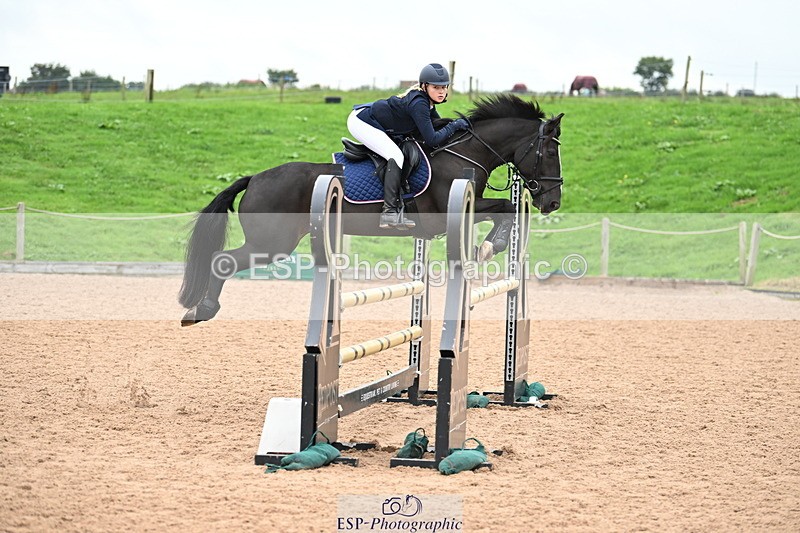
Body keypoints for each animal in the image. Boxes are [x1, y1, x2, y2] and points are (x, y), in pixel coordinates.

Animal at [178, 94, 564, 326]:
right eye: (549, 152)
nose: (552, 202)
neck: (465, 152)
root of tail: (255, 177)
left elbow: (507, 209)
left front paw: (489, 245)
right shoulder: (451, 210)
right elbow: (505, 207)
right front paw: (489, 246)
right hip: (271, 244)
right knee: (223, 260)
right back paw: (202, 310)